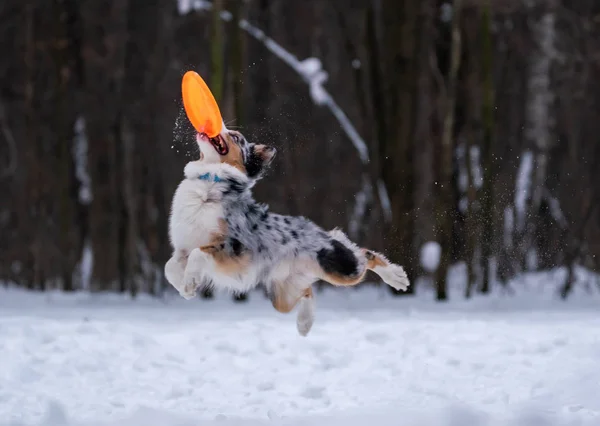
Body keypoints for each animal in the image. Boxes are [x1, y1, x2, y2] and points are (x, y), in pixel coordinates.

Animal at [164, 126, 410, 336]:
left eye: (235, 137)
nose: (216, 126)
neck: (211, 181)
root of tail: (320, 234)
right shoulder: (183, 248)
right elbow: (170, 267)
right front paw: (185, 288)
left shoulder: (235, 246)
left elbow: (198, 253)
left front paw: (189, 283)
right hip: (283, 295)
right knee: (309, 291)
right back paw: (304, 323)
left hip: (341, 268)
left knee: (366, 255)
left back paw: (396, 277)